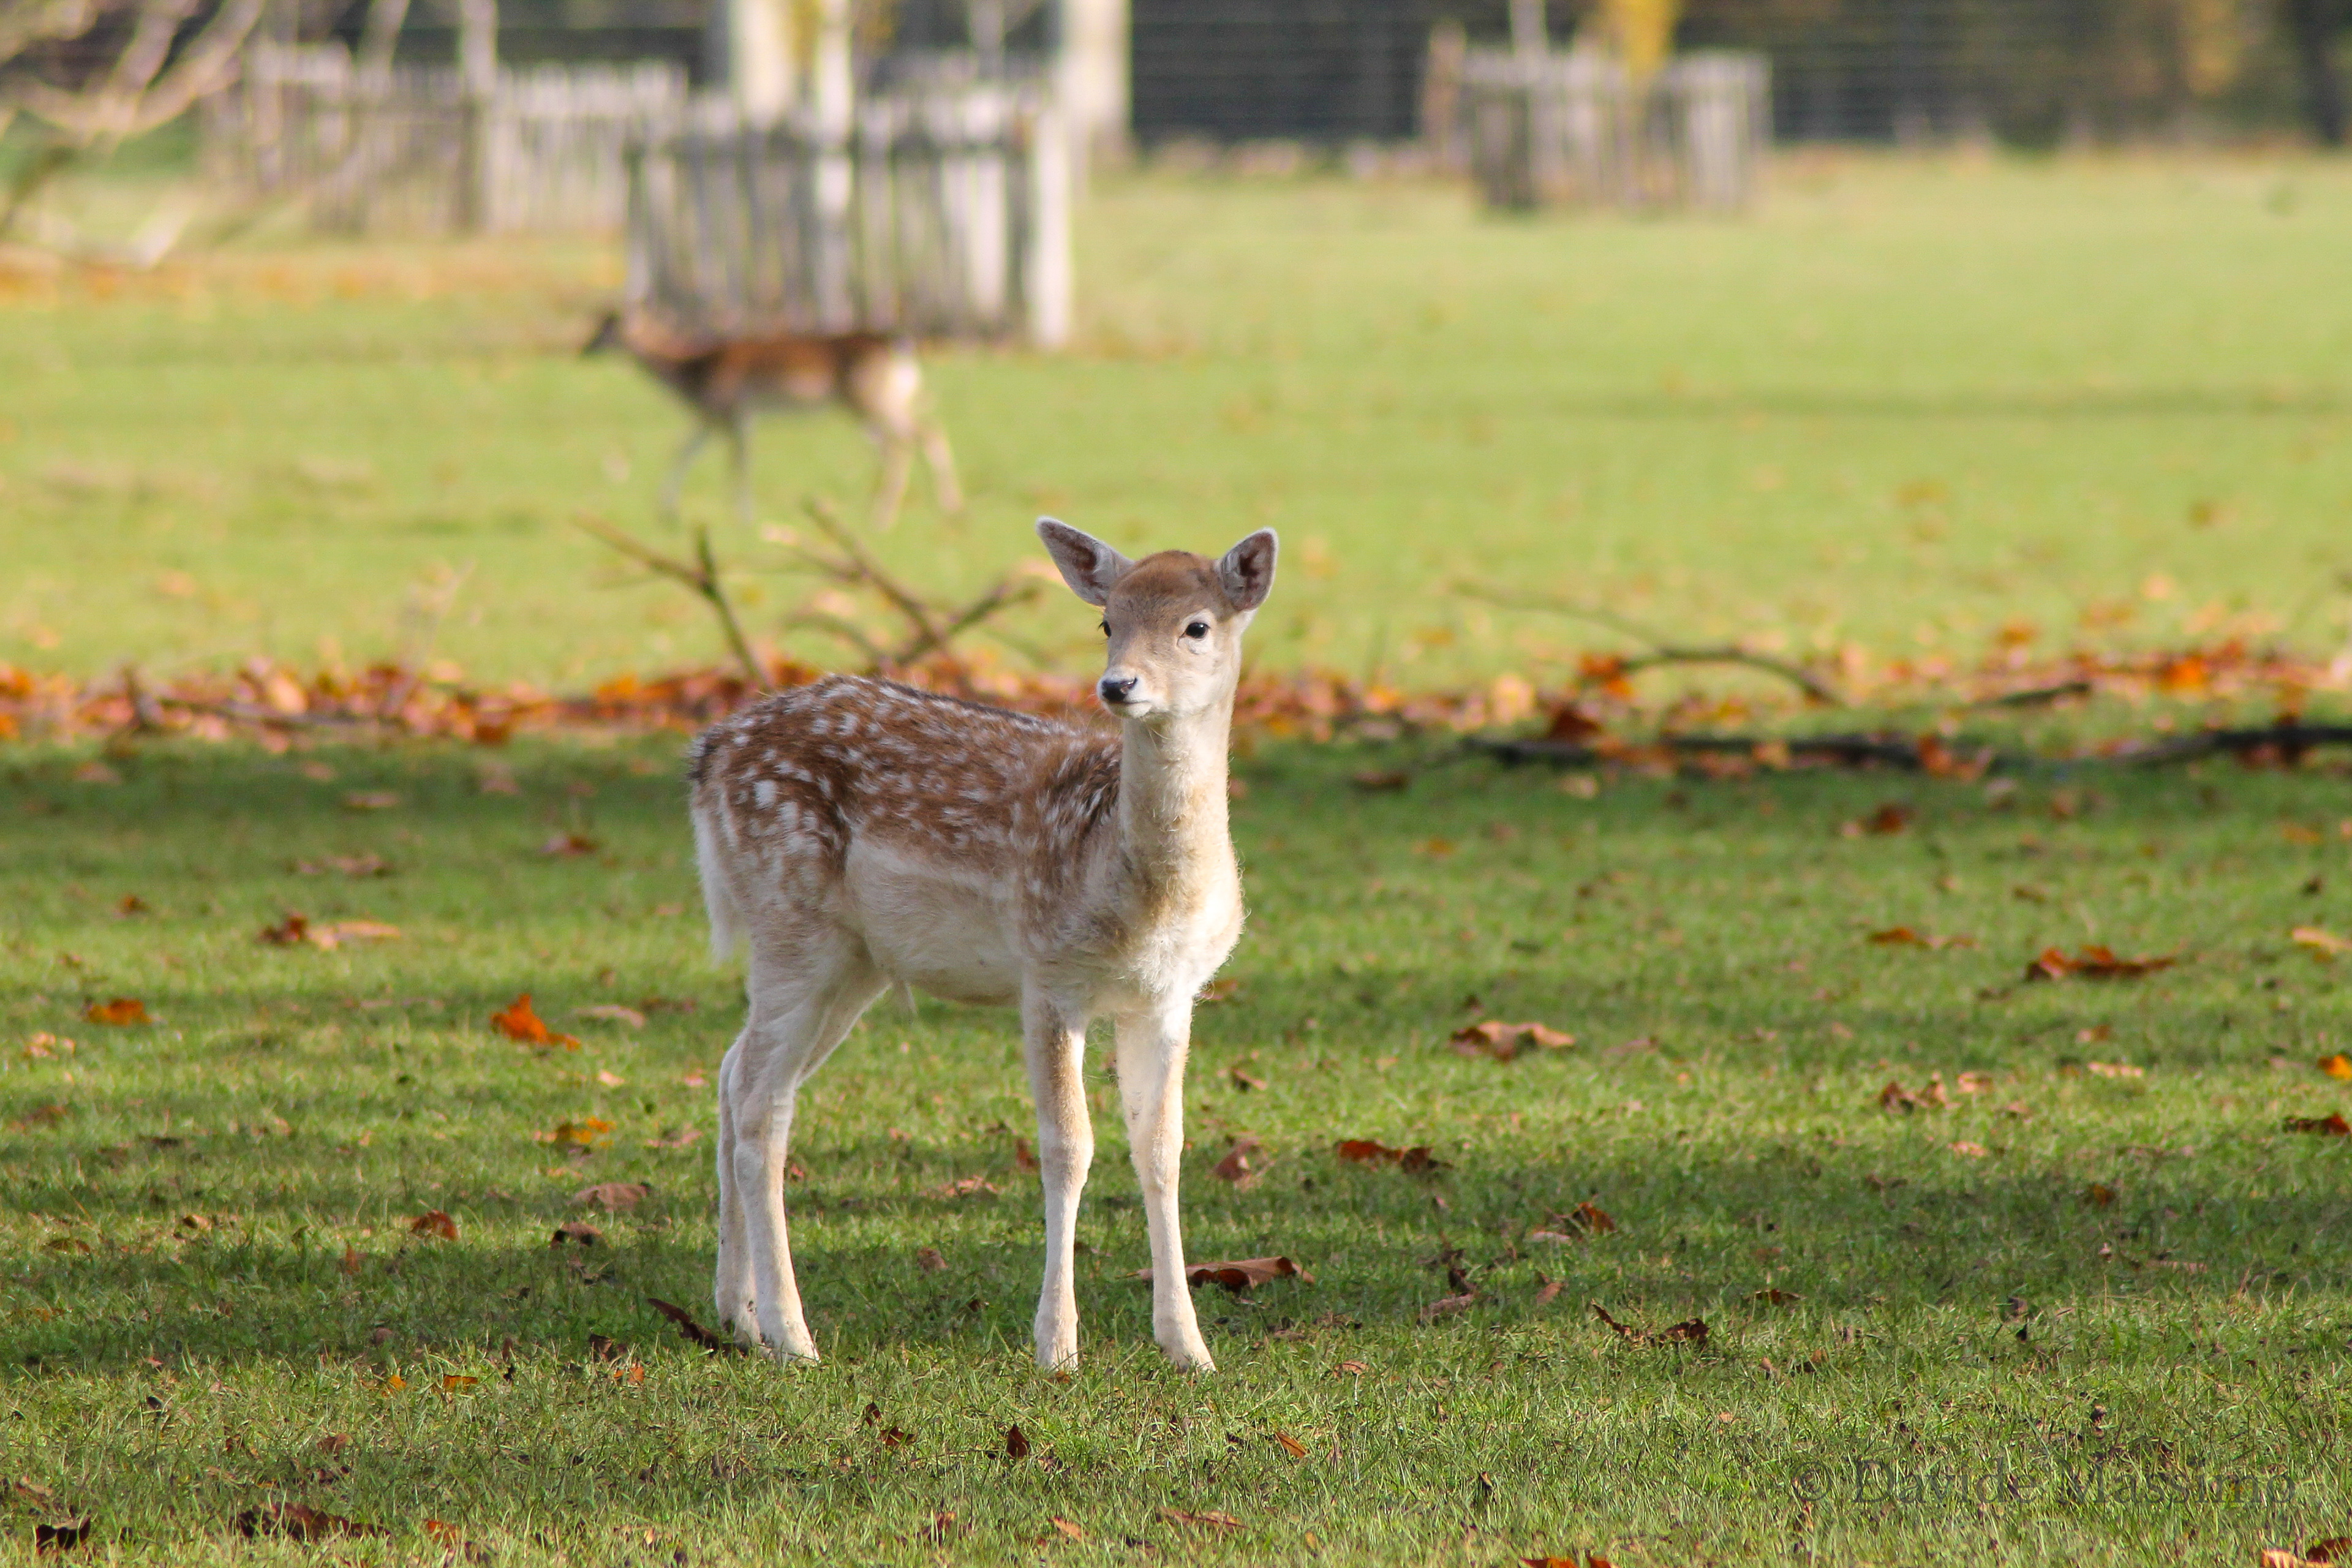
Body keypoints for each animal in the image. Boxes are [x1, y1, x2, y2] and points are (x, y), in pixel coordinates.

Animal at [582, 309, 962, 530]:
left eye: (605, 328)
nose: (581, 348)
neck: (694, 372)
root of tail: (900, 347)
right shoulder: (714, 418)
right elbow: (684, 452)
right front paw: (666, 512)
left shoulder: (732, 413)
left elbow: (736, 464)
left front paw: (744, 519)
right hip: (874, 407)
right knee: (913, 440)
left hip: (871, 402)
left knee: (917, 438)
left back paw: (894, 518)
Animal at [689, 518, 1278, 1372]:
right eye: (1108, 623)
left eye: (1196, 626)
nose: (1119, 686)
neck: (1138, 894)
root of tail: (706, 757)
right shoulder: (1048, 971)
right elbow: (1068, 1146)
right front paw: (1057, 1346)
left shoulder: (1169, 995)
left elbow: (1161, 1148)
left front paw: (1187, 1346)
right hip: (790, 917)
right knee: (764, 1104)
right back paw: (793, 1336)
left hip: (853, 962)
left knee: (736, 1075)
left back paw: (737, 1315)